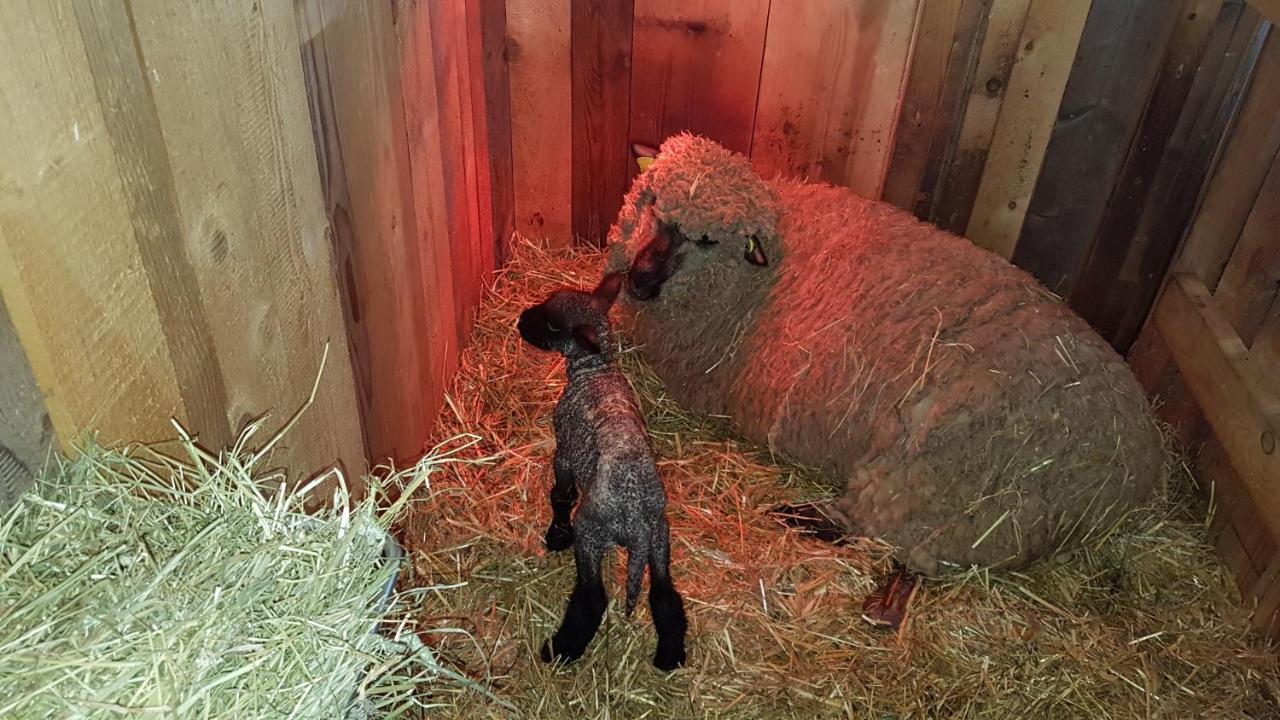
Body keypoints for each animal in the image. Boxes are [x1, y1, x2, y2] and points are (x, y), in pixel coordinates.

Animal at [517, 269, 691, 666]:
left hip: (592, 533)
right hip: (660, 538)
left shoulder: (565, 450)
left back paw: (560, 649)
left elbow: (561, 494)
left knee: (593, 596)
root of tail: (636, 525)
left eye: (552, 323)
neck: (595, 371)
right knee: (664, 594)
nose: (519, 321)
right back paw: (669, 656)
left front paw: (556, 535)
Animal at [604, 134, 1167, 579]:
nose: (640, 282)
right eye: (652, 202)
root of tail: (1131, 464)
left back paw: (800, 515)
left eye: (706, 240)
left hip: (947, 486)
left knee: (890, 534)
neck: (759, 276)